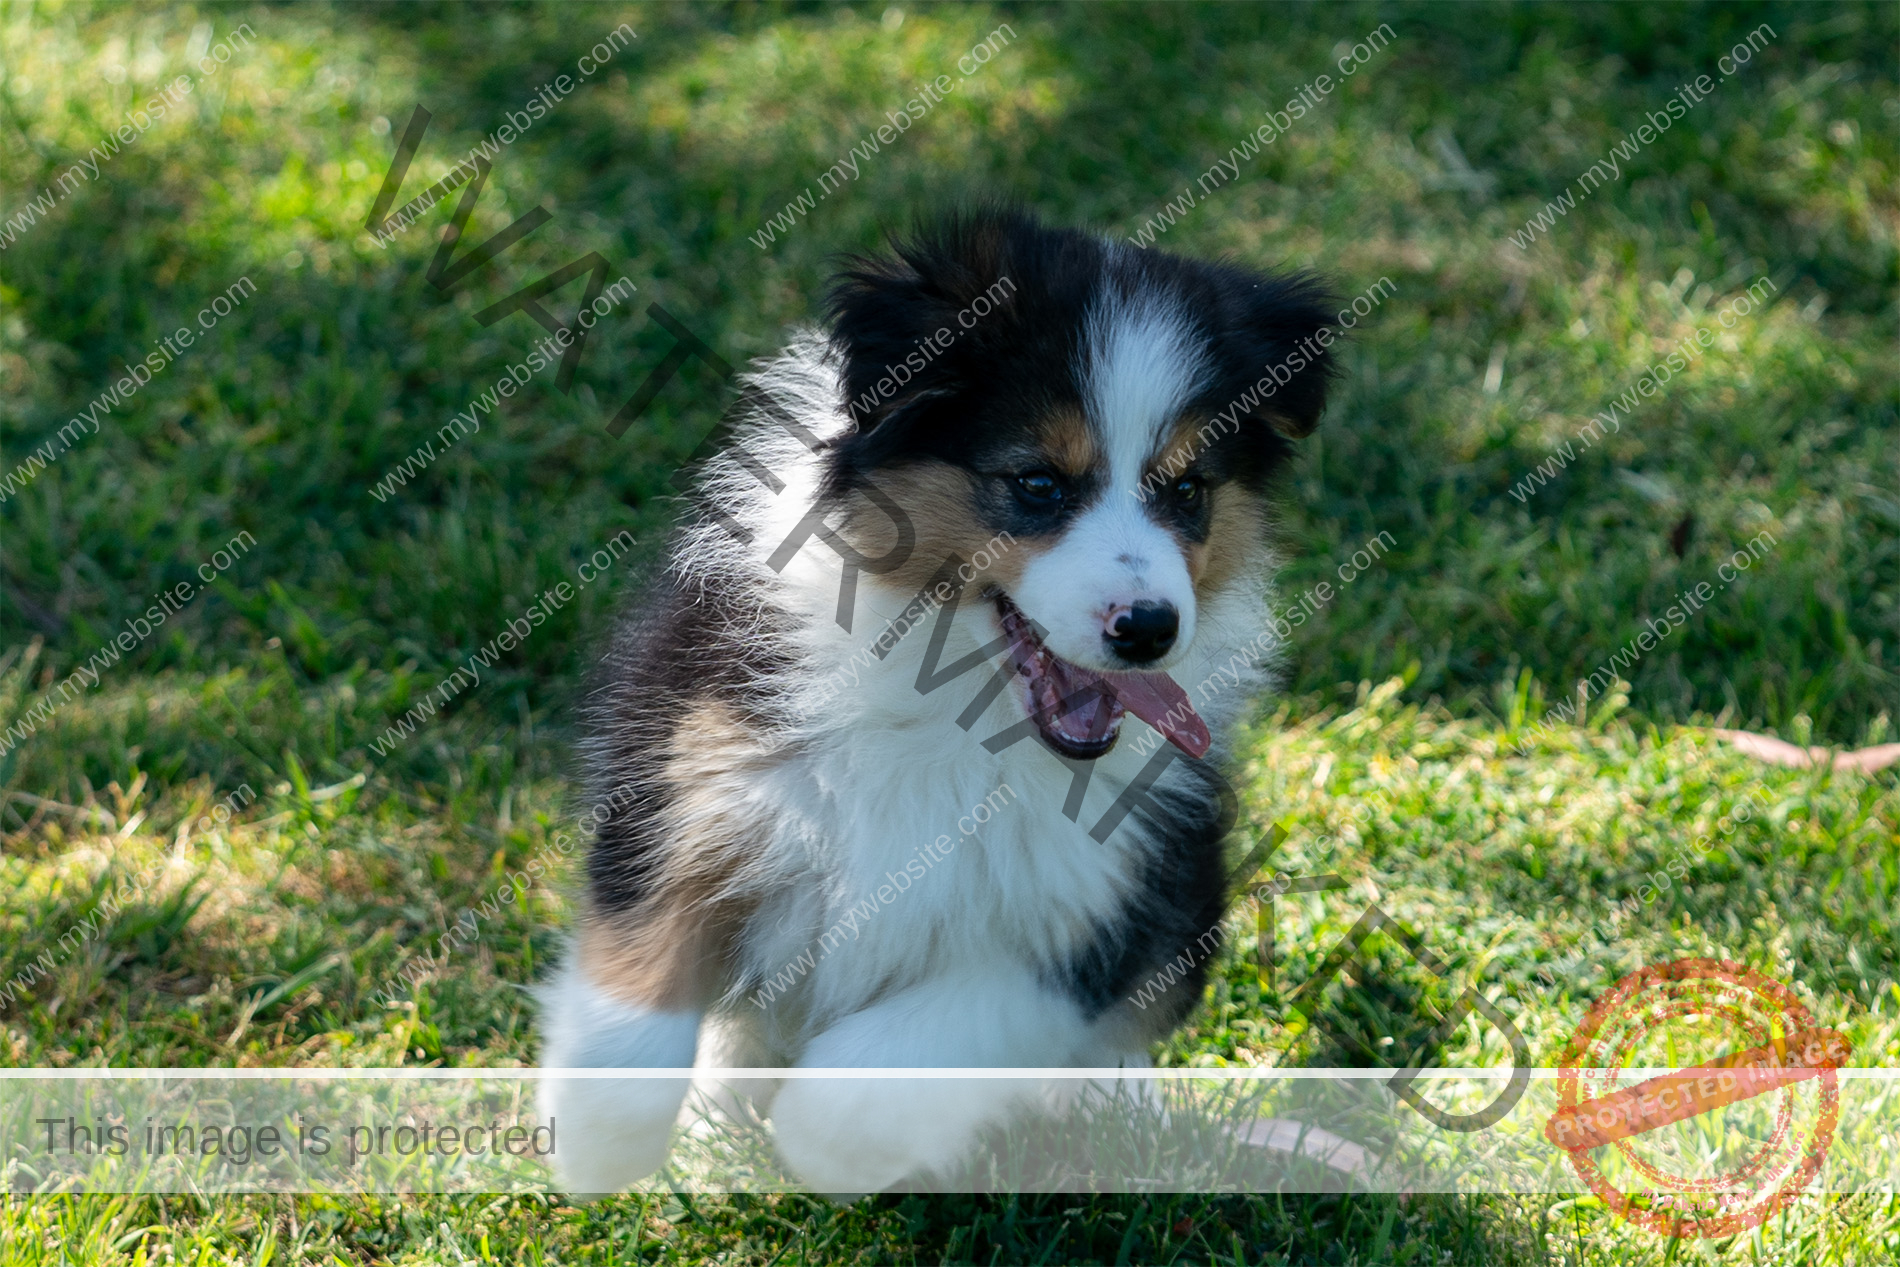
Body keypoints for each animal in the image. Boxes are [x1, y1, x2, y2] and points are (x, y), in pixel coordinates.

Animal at [535, 210, 1337, 1200]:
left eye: (1188, 490)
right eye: (1039, 483)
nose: (1150, 628)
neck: (953, 698)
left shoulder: (1110, 897)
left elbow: (868, 1088)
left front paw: (826, 1152)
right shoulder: (688, 768)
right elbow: (632, 1007)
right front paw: (597, 1149)